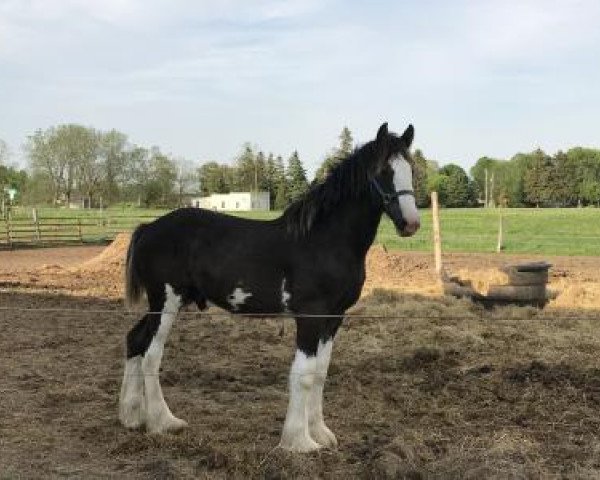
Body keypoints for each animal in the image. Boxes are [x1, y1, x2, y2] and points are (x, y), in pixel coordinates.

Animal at [119, 122, 420, 452]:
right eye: (383, 171)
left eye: (411, 169)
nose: (411, 224)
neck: (324, 240)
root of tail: (148, 228)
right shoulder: (310, 316)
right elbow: (304, 374)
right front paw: (300, 442)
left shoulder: (334, 318)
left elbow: (321, 373)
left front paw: (321, 433)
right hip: (166, 302)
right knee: (151, 354)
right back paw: (163, 422)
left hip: (163, 303)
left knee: (135, 340)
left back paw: (131, 417)